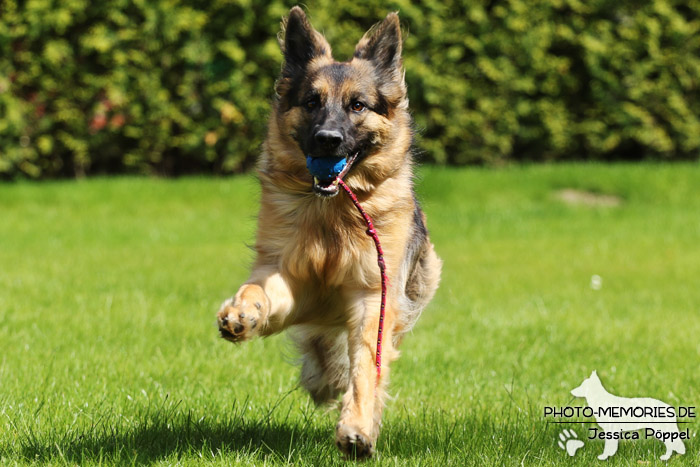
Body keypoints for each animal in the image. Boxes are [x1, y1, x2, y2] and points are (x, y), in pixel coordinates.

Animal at [216, 7, 440, 458]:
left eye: (357, 105)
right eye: (311, 102)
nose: (327, 140)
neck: (331, 215)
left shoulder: (373, 296)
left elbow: (365, 368)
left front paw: (357, 428)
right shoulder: (290, 276)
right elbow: (257, 288)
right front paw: (242, 314)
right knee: (322, 351)